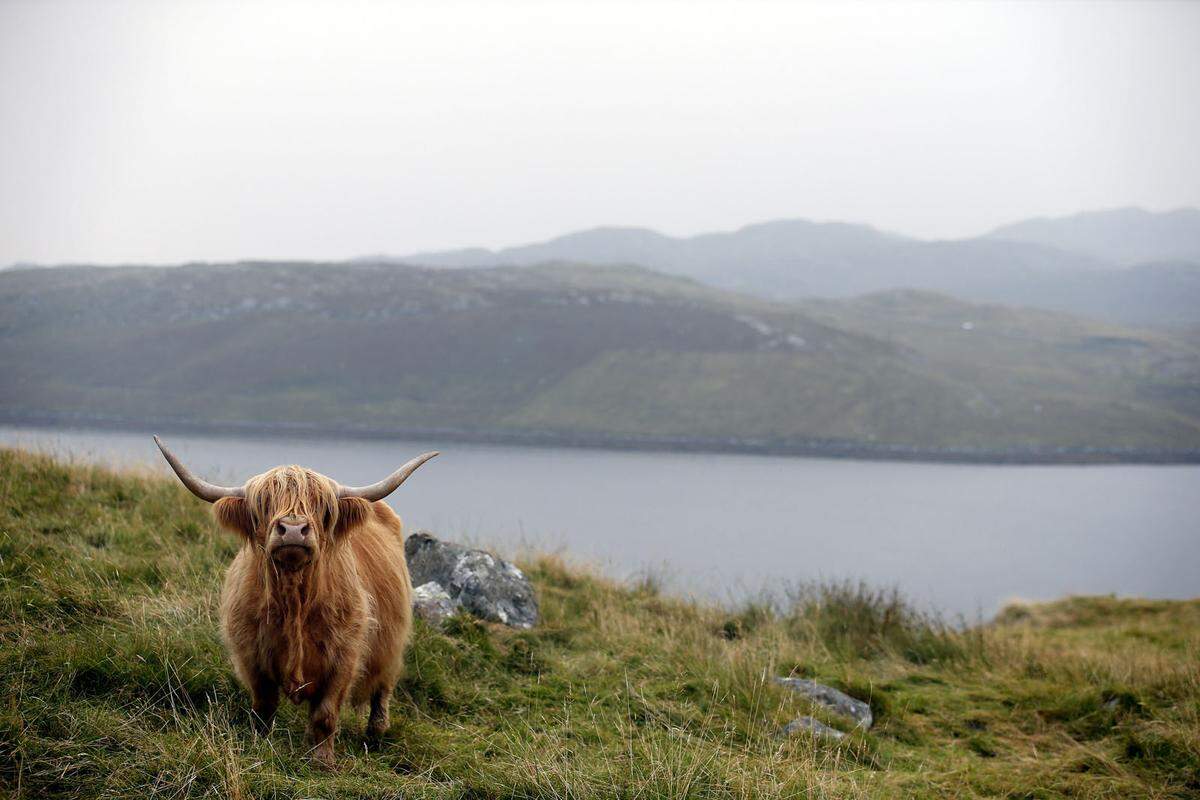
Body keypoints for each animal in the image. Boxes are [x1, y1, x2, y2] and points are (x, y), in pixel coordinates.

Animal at [152, 438, 436, 767]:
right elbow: (263, 707)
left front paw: (323, 761)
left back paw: (376, 734)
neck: (294, 602)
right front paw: (259, 744)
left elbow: (325, 714)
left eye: (322, 507)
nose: (292, 529)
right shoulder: (252, 654)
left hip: (392, 645)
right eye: (264, 504)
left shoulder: (344, 656)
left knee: (382, 689)